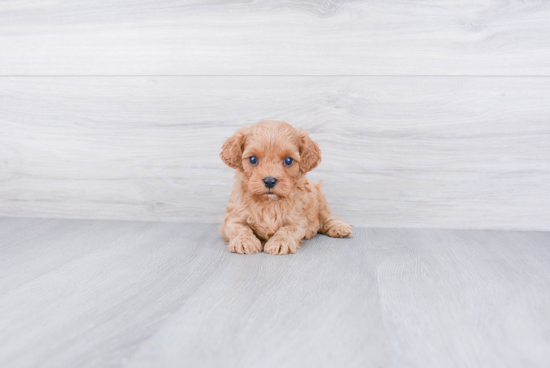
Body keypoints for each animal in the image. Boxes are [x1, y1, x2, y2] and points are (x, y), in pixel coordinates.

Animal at [220, 121, 354, 256]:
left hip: (319, 200)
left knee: (328, 217)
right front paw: (244, 241)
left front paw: (280, 242)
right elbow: (239, 228)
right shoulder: (232, 218)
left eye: (288, 160)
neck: (269, 203)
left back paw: (340, 227)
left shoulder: (298, 221)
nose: (269, 181)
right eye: (253, 159)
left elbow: (287, 229)